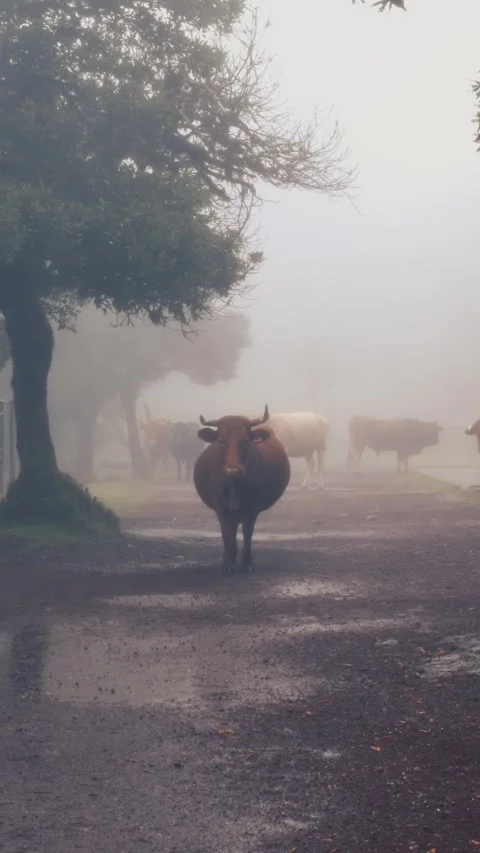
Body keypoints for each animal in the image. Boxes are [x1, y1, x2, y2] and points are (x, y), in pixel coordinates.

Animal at [193, 405, 290, 572]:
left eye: (245, 440)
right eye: (221, 441)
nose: (233, 469)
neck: (234, 485)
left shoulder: (252, 507)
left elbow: (247, 532)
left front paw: (246, 562)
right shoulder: (220, 507)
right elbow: (227, 532)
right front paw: (228, 563)